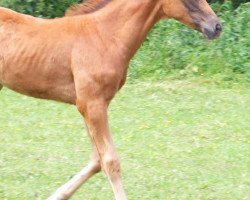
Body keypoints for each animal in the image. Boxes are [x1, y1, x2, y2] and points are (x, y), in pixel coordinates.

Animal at [0, 0, 221, 200]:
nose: (216, 26)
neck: (106, 35)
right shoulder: (92, 105)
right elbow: (110, 161)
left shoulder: (90, 105)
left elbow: (96, 160)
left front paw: (57, 195)